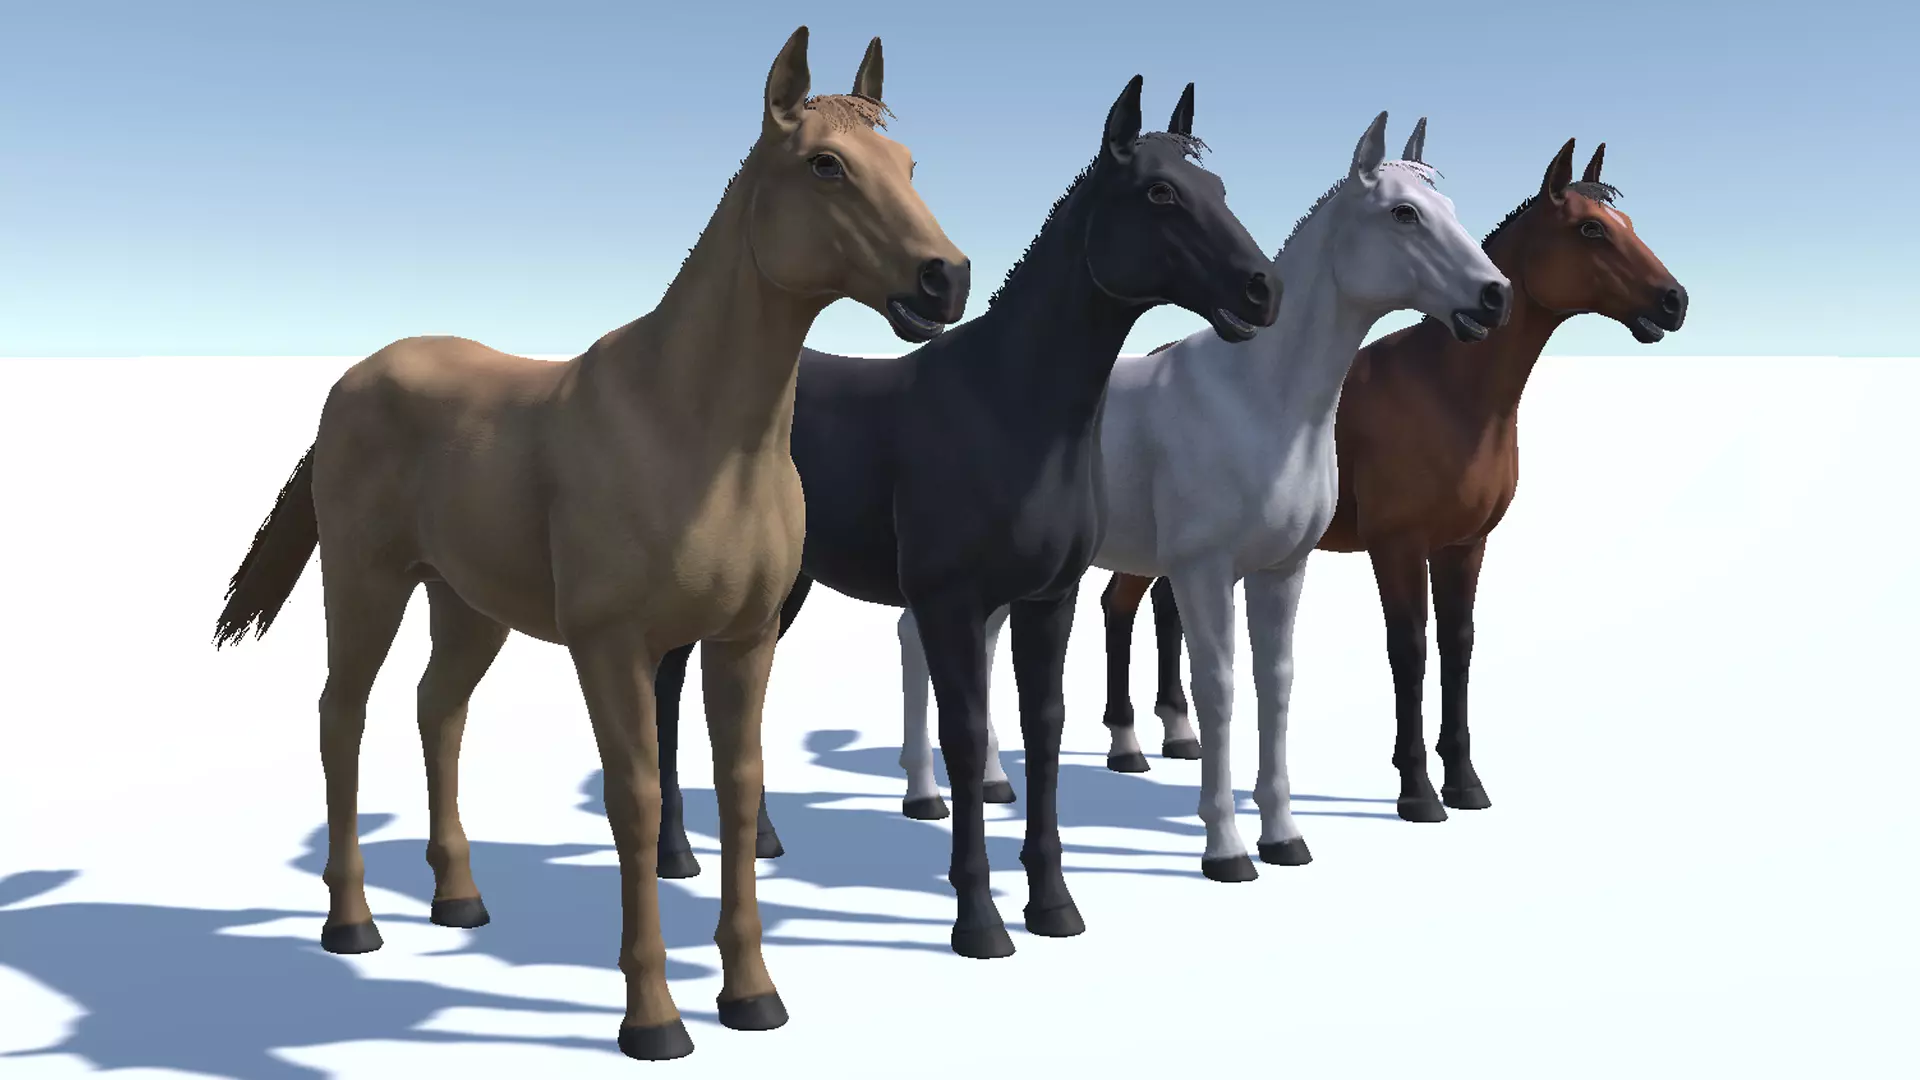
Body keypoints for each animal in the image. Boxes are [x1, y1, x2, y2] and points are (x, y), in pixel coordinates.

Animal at [209, 28, 968, 1061]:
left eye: (910, 165)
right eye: (826, 166)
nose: (946, 279)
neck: (692, 429)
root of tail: (354, 380)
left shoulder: (744, 641)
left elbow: (739, 789)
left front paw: (753, 997)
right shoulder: (613, 648)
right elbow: (636, 797)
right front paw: (654, 1021)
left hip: (466, 603)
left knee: (438, 711)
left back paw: (459, 900)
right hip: (366, 585)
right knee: (342, 715)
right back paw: (352, 922)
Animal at [652, 77, 1281, 956]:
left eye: (1216, 186)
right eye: (1159, 193)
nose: (1263, 290)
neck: (1009, 406)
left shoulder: (1047, 601)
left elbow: (1042, 728)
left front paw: (1053, 906)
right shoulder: (951, 605)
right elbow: (966, 732)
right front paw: (979, 921)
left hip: (786, 591)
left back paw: (765, 839)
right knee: (668, 683)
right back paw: (675, 853)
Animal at [895, 112, 1513, 880]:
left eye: (1448, 207)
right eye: (1404, 213)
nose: (1495, 296)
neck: (1260, 400)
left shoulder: (1283, 570)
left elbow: (1275, 685)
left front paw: (1284, 836)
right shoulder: (1202, 571)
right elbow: (1216, 685)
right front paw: (1226, 846)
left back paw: (989, 783)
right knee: (916, 639)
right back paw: (925, 794)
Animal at [1101, 137, 1689, 824]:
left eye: (1626, 223)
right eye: (1591, 229)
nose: (1674, 301)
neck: (1448, 393)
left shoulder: (1464, 546)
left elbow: (1458, 647)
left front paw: (1465, 781)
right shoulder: (1397, 546)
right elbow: (1409, 650)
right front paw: (1418, 790)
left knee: (1162, 609)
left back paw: (1179, 735)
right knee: (1119, 605)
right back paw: (1127, 744)